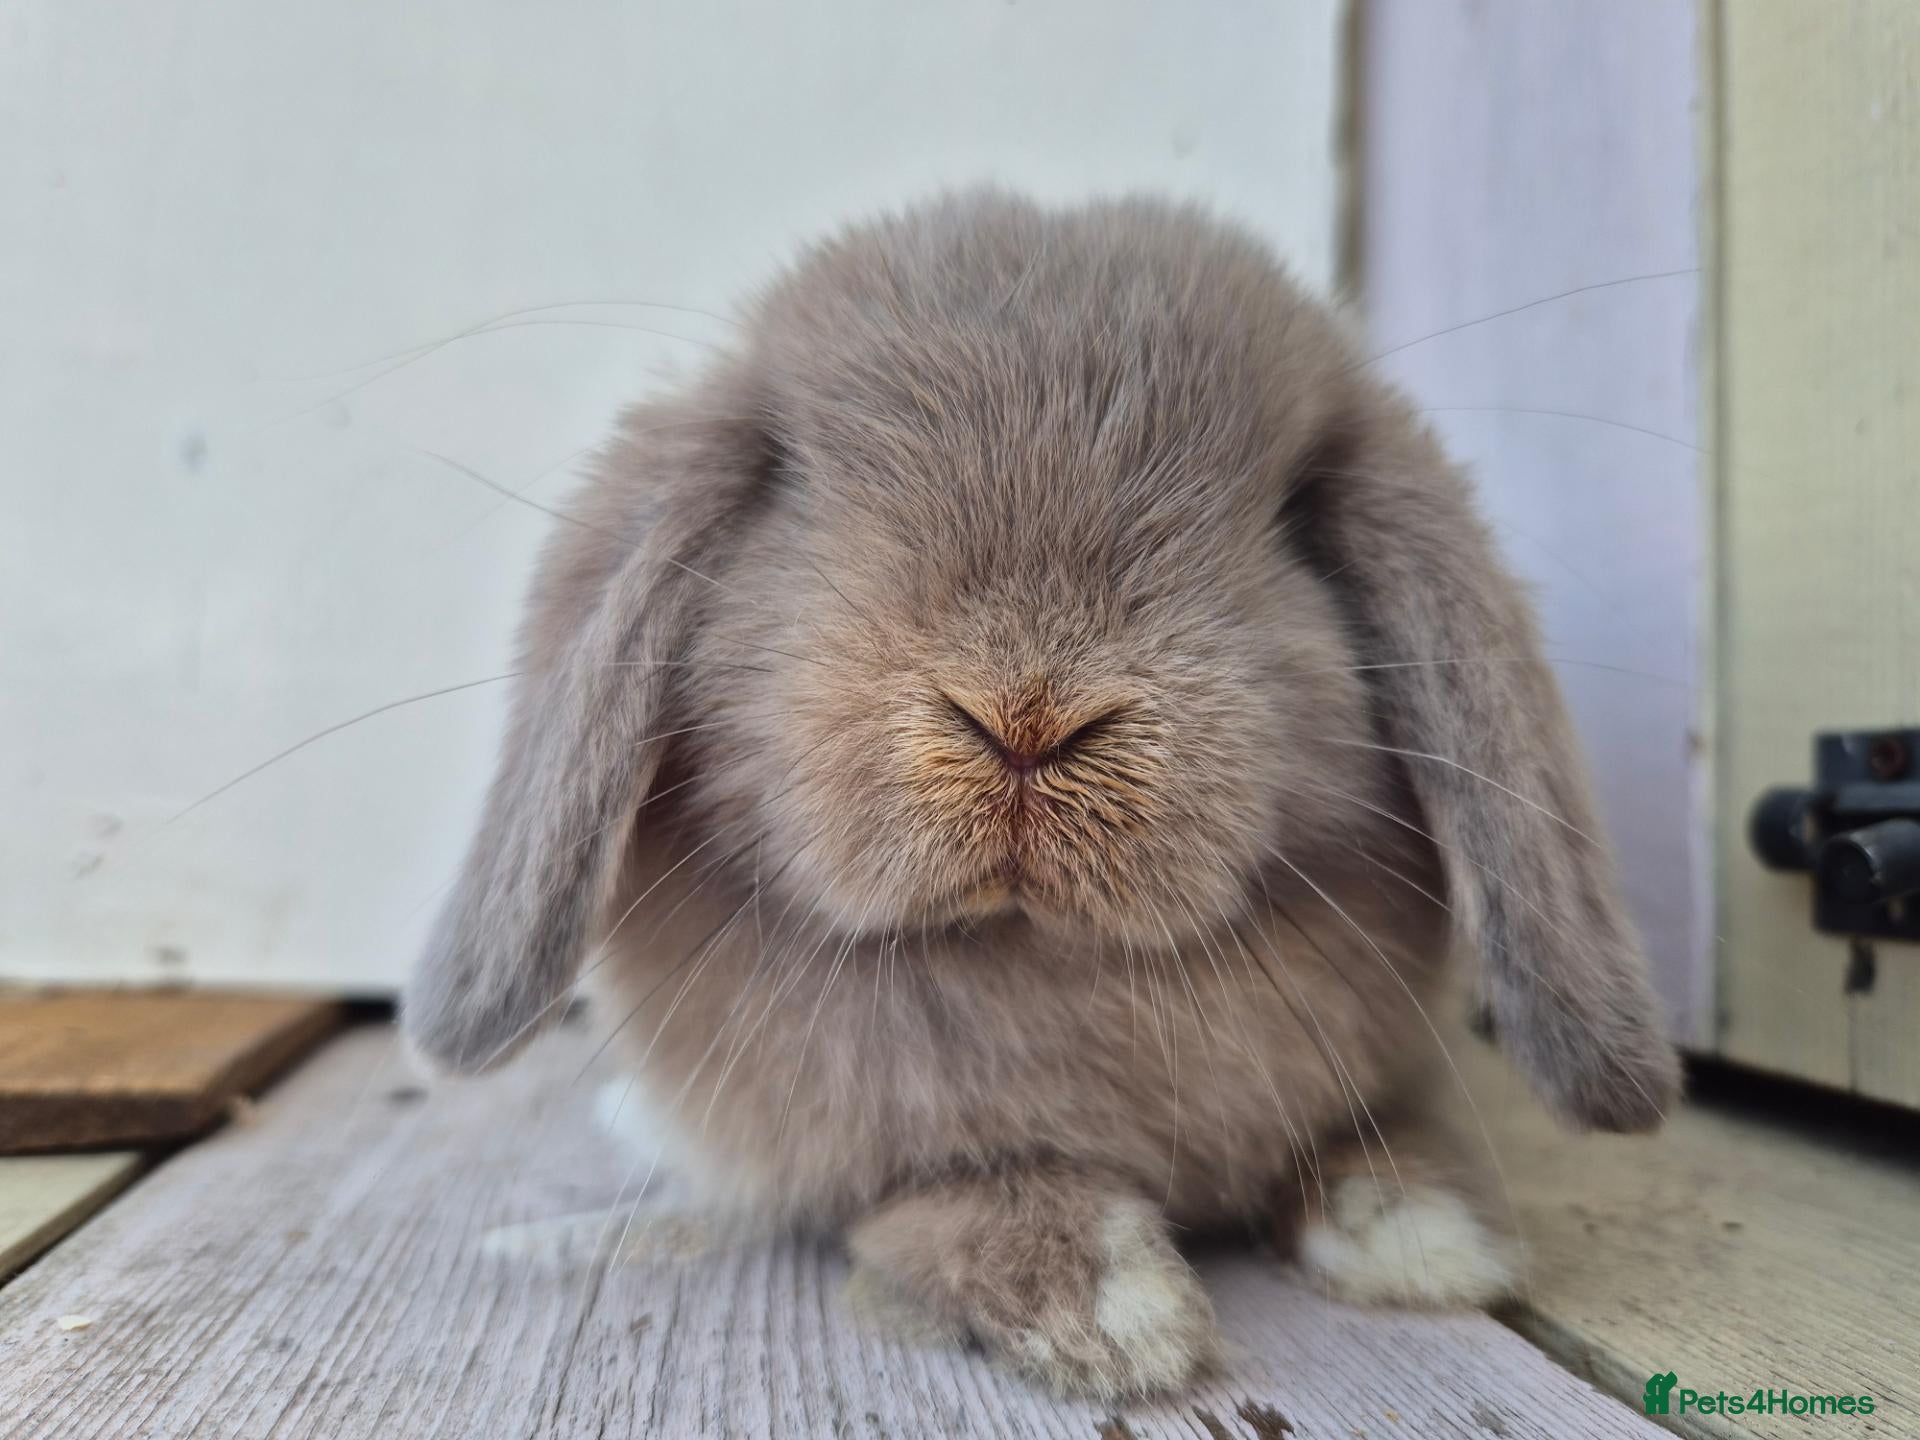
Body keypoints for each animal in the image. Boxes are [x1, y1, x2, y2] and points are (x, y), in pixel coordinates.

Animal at [403, 190, 1680, 1401]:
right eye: (795, 481)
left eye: (1292, 515)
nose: (1025, 716)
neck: (1043, 962)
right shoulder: (865, 1162)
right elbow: (943, 1203)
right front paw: (1110, 1309)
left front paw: (1422, 1229)